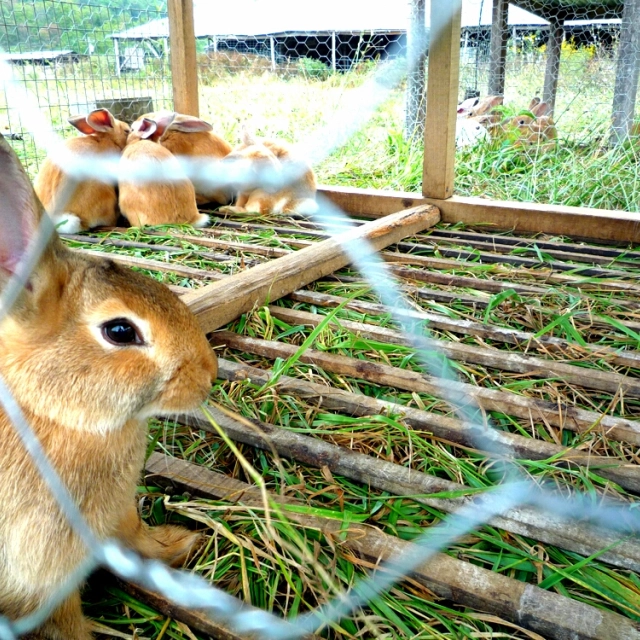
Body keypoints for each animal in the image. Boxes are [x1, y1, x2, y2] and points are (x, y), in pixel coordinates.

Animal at [0, 131, 218, 640]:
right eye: (120, 331)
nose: (209, 374)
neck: (51, 413)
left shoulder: (119, 513)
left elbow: (136, 537)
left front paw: (179, 545)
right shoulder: (39, 581)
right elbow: (64, 624)